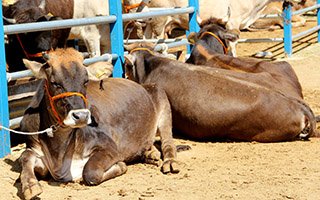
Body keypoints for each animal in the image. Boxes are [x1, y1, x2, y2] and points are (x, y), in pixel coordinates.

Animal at [19, 48, 180, 200]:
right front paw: (30, 186)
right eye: (54, 83)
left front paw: (120, 166)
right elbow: (25, 156)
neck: (59, 151)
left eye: (85, 81)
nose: (81, 116)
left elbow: (90, 172)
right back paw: (150, 153)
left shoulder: (110, 147)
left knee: (168, 142)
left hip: (162, 104)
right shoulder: (34, 147)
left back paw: (170, 161)